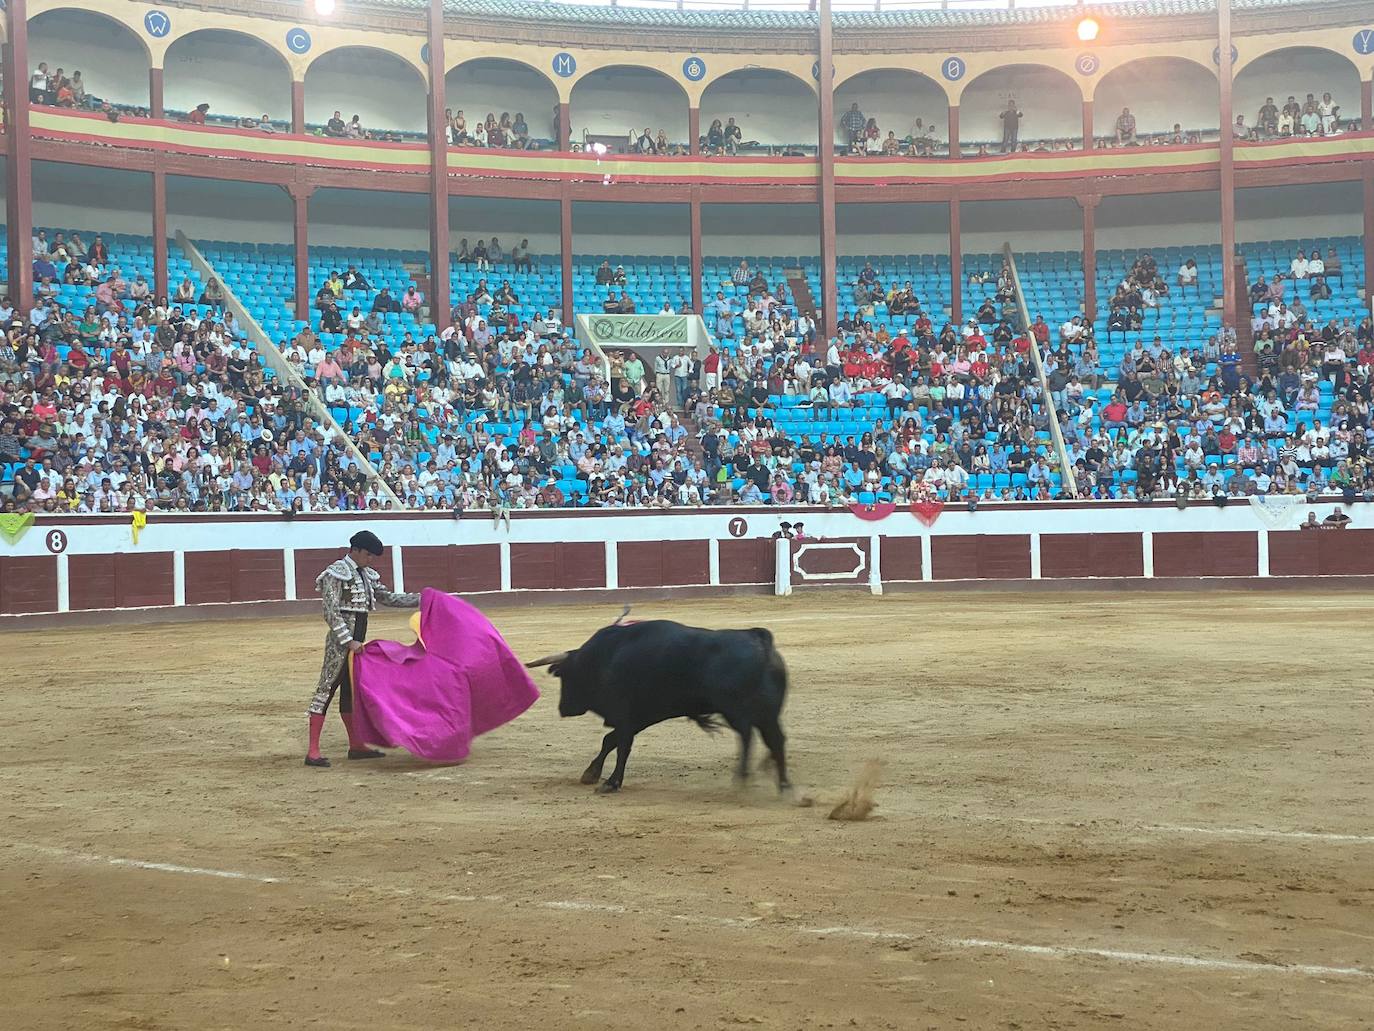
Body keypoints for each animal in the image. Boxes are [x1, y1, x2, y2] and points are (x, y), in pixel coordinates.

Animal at [524, 613, 791, 797]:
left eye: (565, 676)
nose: (563, 708)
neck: (605, 657)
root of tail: (758, 637)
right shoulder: (641, 716)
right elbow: (611, 740)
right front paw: (591, 774)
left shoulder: (625, 713)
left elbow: (621, 745)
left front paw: (611, 782)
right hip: (767, 713)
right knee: (776, 740)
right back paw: (785, 785)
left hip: (737, 711)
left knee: (747, 736)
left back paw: (743, 778)